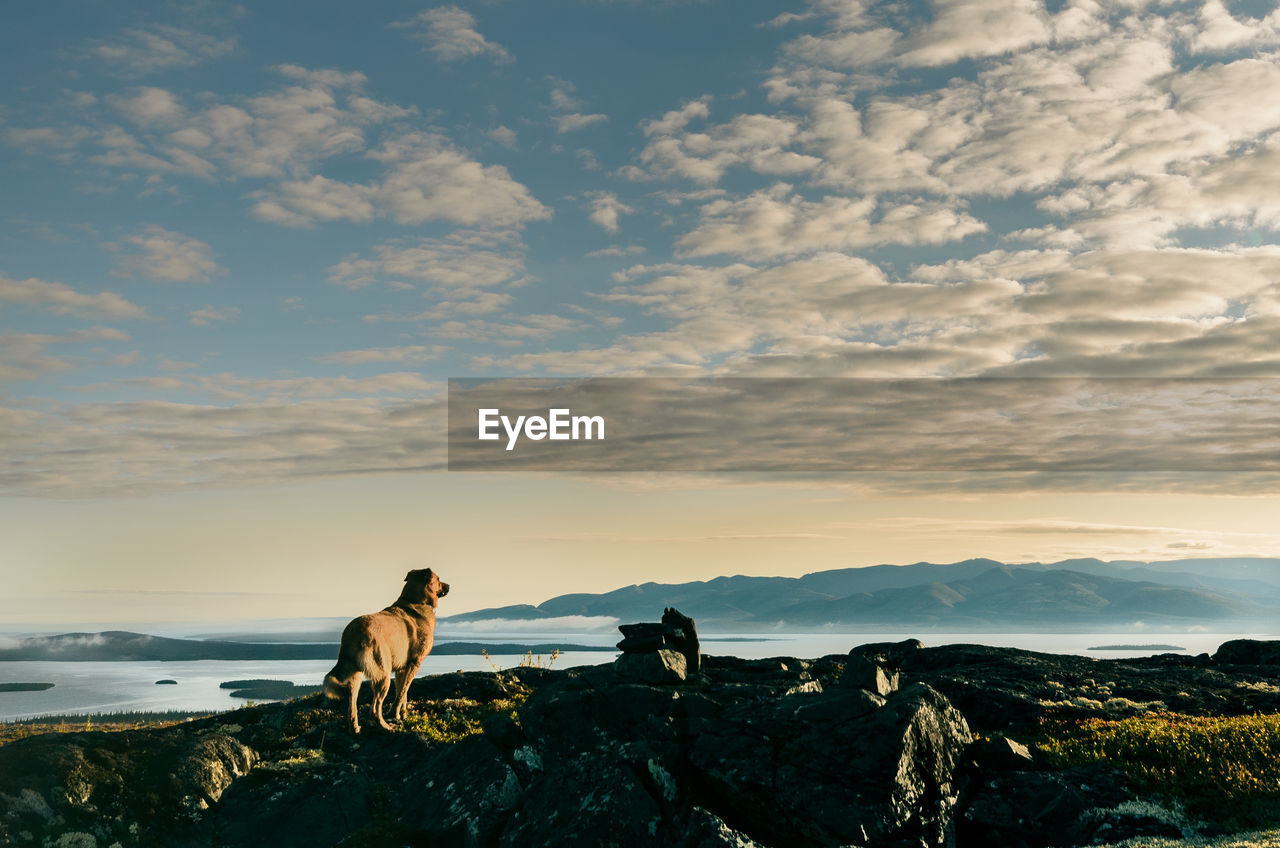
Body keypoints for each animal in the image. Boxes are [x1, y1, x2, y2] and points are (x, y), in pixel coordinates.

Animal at [322, 571, 448, 737]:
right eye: (438, 579)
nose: (449, 586)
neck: (414, 600)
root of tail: (355, 632)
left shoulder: (402, 668)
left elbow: (402, 692)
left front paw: (402, 714)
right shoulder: (415, 662)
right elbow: (402, 692)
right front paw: (396, 714)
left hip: (356, 677)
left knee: (352, 707)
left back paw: (355, 730)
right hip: (383, 675)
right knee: (375, 708)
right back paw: (386, 727)